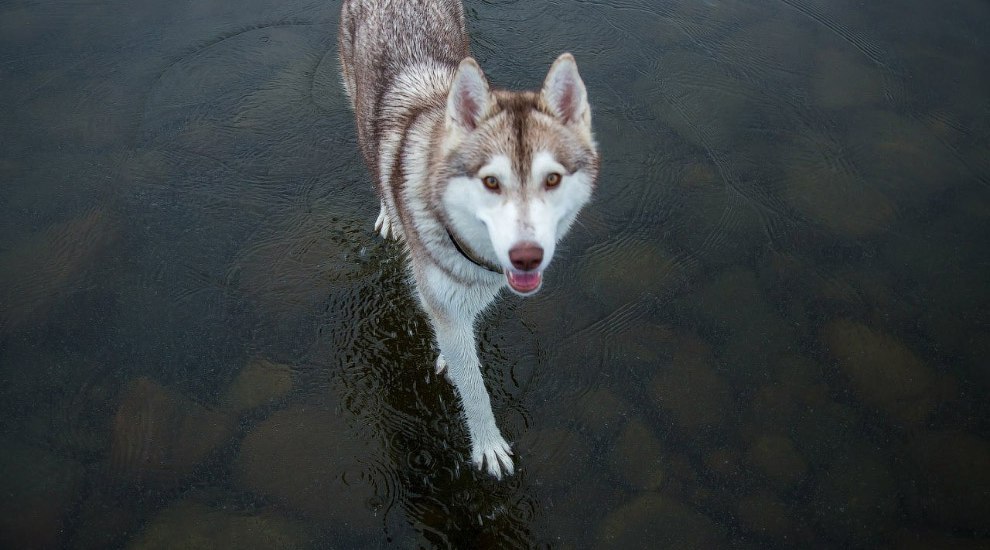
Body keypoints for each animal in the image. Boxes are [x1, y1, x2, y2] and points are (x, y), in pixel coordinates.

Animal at [338, 0, 600, 478]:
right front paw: (487, 444)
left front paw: (449, 355)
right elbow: (475, 388)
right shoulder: (445, 294)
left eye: (552, 179)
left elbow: (460, 339)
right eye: (491, 182)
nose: (527, 256)